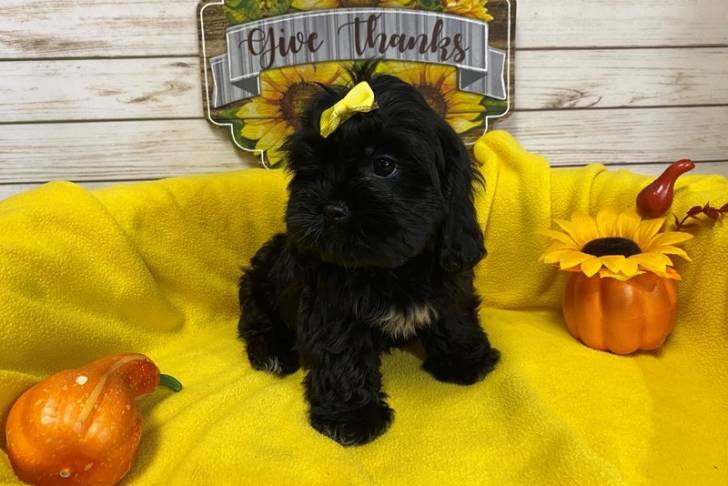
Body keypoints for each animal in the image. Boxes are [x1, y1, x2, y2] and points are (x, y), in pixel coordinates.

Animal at [239, 62, 500, 446]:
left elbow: (454, 315)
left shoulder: (448, 276)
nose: (331, 209)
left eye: (384, 165)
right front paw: (352, 418)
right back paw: (271, 352)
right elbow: (342, 355)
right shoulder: (332, 307)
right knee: (256, 321)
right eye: (314, 168)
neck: (388, 269)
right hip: (257, 283)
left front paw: (467, 360)